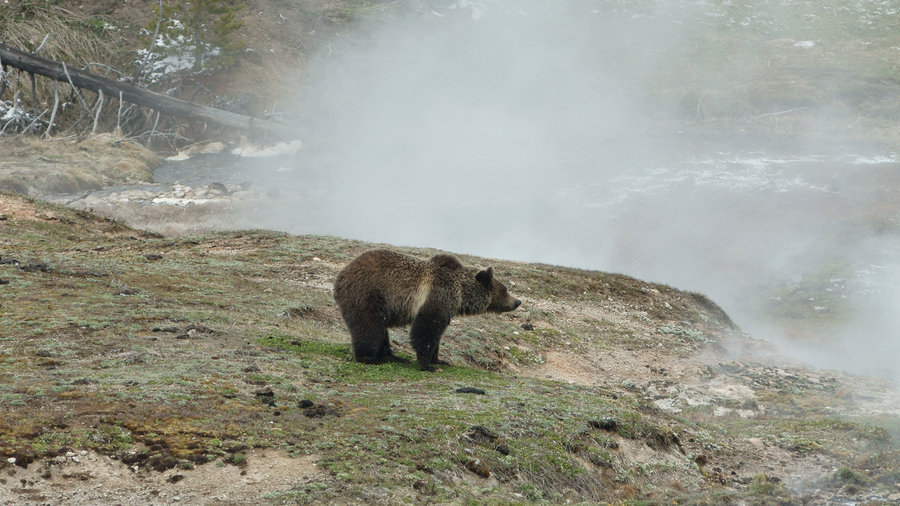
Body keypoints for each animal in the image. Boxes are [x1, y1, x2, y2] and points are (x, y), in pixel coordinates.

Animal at [334, 250, 524, 372]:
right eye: (505, 289)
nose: (518, 301)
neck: (461, 293)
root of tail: (341, 276)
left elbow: (437, 335)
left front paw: (439, 360)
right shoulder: (438, 296)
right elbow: (426, 330)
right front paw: (427, 365)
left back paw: (392, 356)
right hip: (368, 294)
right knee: (369, 327)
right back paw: (370, 357)